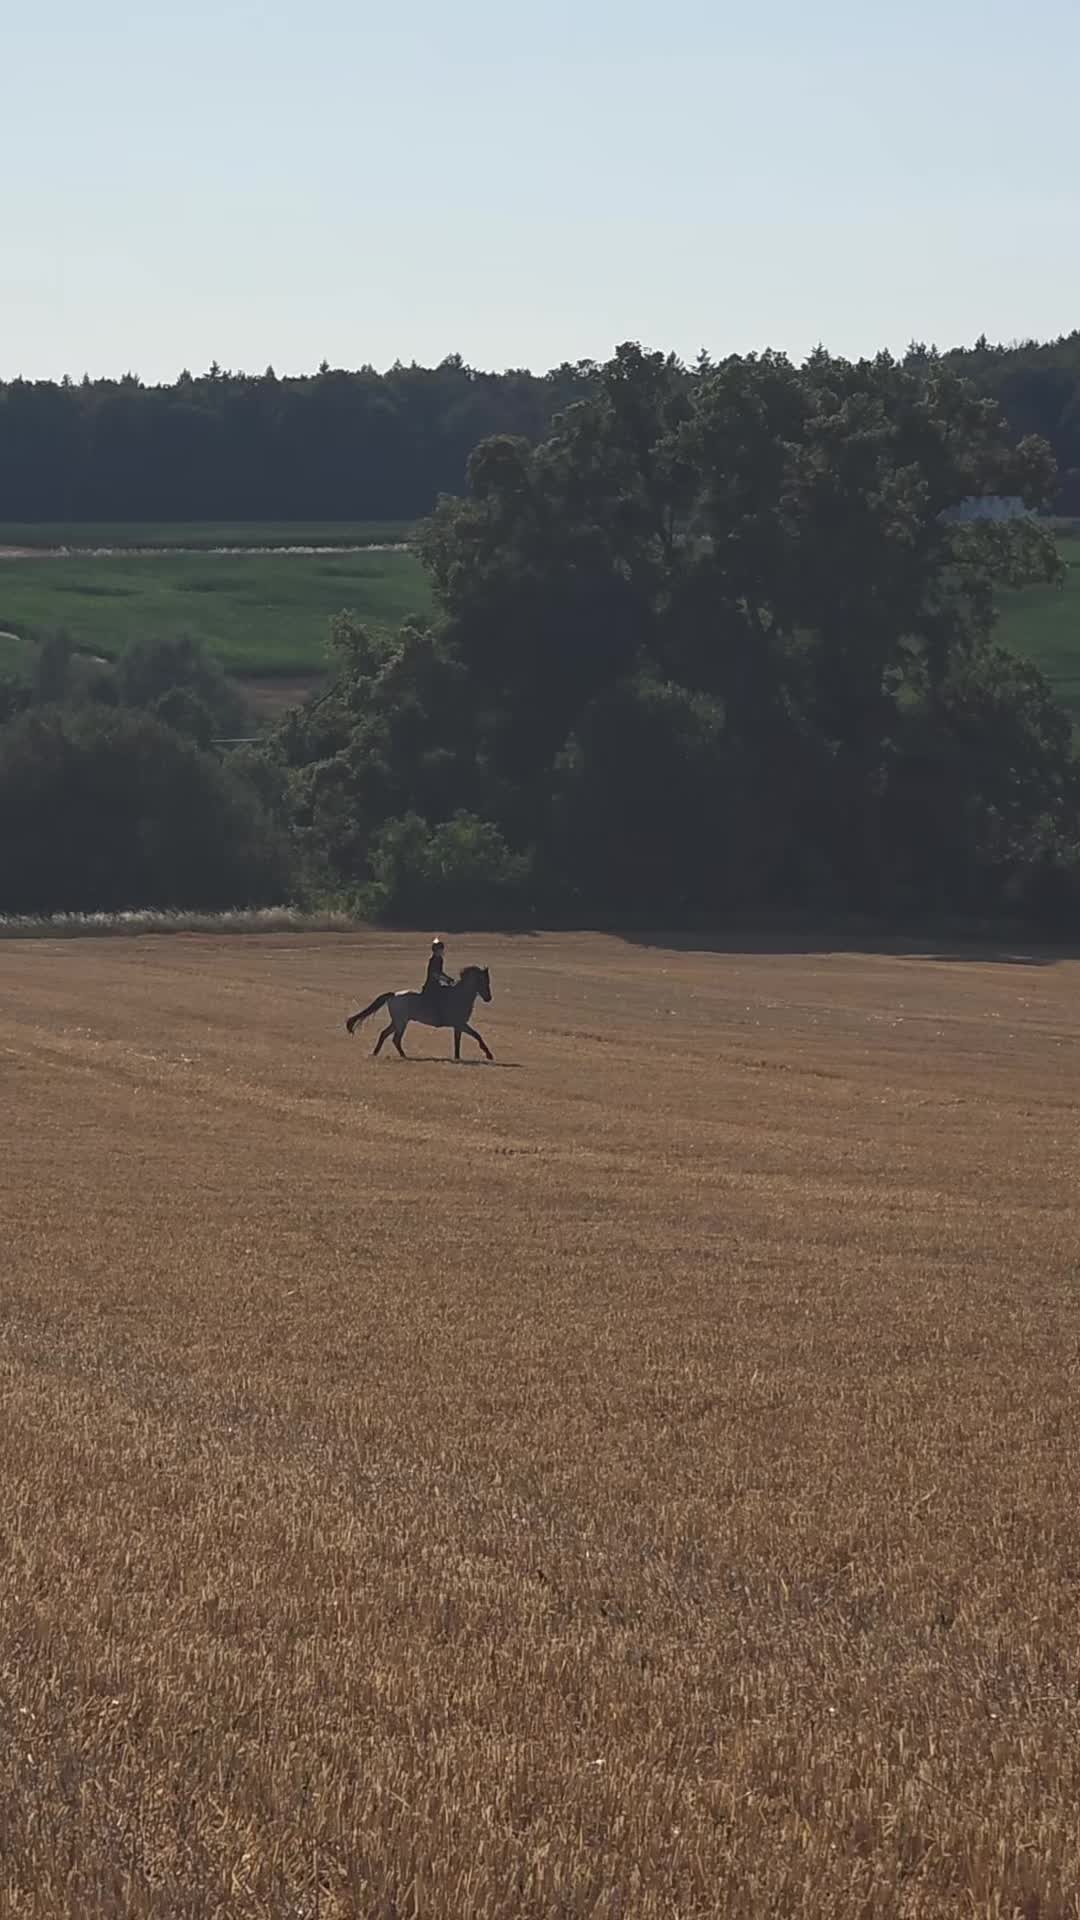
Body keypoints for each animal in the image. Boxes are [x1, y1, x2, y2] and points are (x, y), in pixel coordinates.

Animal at [345, 964, 494, 1061]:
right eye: (483, 981)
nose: (489, 998)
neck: (460, 995)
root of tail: (394, 995)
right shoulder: (461, 1024)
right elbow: (477, 1036)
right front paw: (489, 1055)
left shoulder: (458, 1026)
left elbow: (458, 1041)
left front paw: (457, 1057)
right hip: (401, 1022)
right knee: (395, 1038)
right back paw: (403, 1055)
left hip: (398, 1022)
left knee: (385, 1034)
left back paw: (377, 1053)